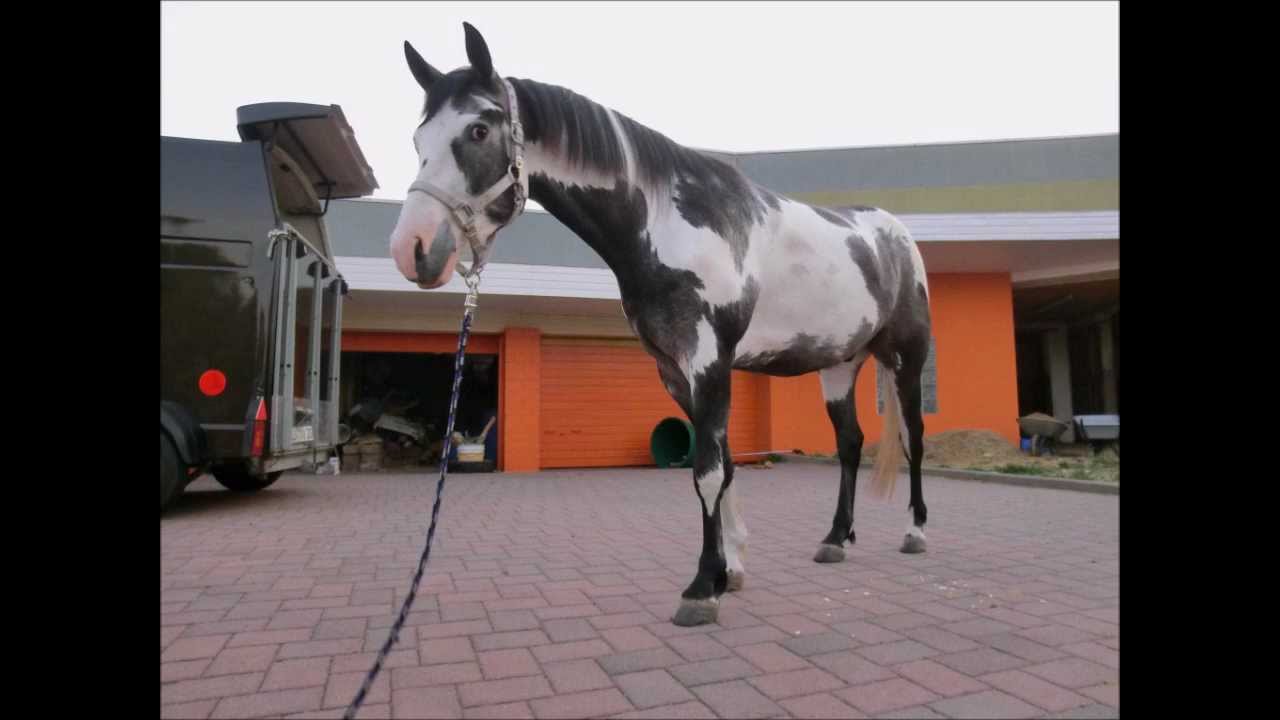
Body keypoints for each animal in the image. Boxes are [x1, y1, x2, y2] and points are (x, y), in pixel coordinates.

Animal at [389, 23, 933, 627]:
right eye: (418, 140)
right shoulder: (674, 369)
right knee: (851, 443)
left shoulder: (710, 360)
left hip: (907, 360)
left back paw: (915, 532)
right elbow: (722, 464)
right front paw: (729, 571)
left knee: (914, 437)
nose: (412, 250)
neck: (668, 220)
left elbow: (709, 471)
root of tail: (895, 236)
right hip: (839, 366)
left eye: (478, 130)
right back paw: (836, 539)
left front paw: (700, 589)